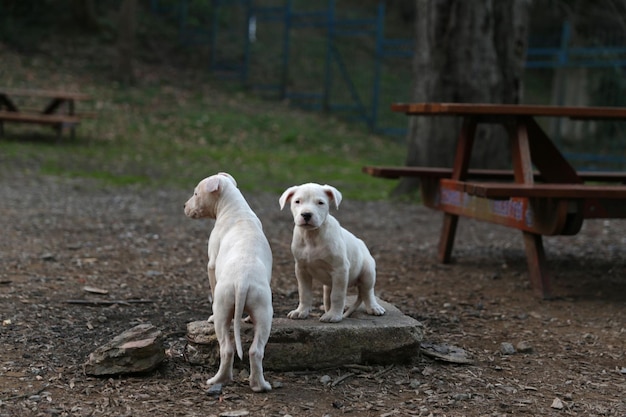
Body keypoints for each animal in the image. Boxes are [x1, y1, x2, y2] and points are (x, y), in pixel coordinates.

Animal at [185, 171, 272, 390]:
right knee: (256, 350)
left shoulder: (211, 265)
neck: (235, 208)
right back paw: (260, 385)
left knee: (227, 348)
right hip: (264, 310)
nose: (184, 206)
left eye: (196, 193)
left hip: (223, 307)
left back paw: (218, 380)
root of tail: (242, 281)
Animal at [280, 182, 386, 322]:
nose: (306, 214)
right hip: (328, 285)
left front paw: (334, 315)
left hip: (368, 272)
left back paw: (373, 307)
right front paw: (301, 311)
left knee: (367, 292)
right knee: (329, 298)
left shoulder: (340, 269)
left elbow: (337, 295)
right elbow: (304, 293)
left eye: (320, 203)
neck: (312, 236)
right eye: (297, 201)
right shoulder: (301, 270)